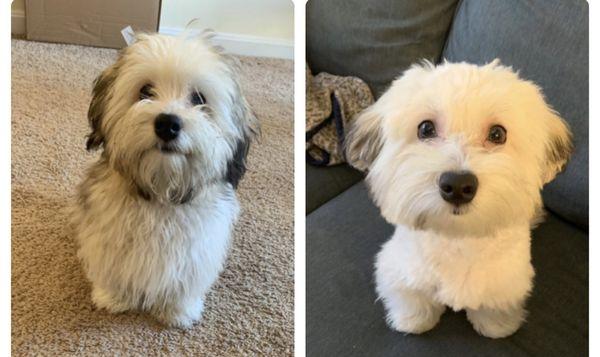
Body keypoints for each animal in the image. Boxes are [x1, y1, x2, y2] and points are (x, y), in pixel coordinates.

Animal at [71, 32, 258, 326]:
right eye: (145, 91)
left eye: (198, 98)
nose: (168, 124)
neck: (162, 191)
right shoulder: (109, 233)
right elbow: (113, 265)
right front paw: (114, 296)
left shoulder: (198, 248)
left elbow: (185, 279)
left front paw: (178, 309)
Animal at [344, 59, 568, 338]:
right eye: (426, 128)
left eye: (497, 134)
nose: (458, 185)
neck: (458, 236)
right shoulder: (398, 267)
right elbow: (411, 296)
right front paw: (413, 320)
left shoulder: (507, 279)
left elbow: (494, 305)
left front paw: (497, 326)